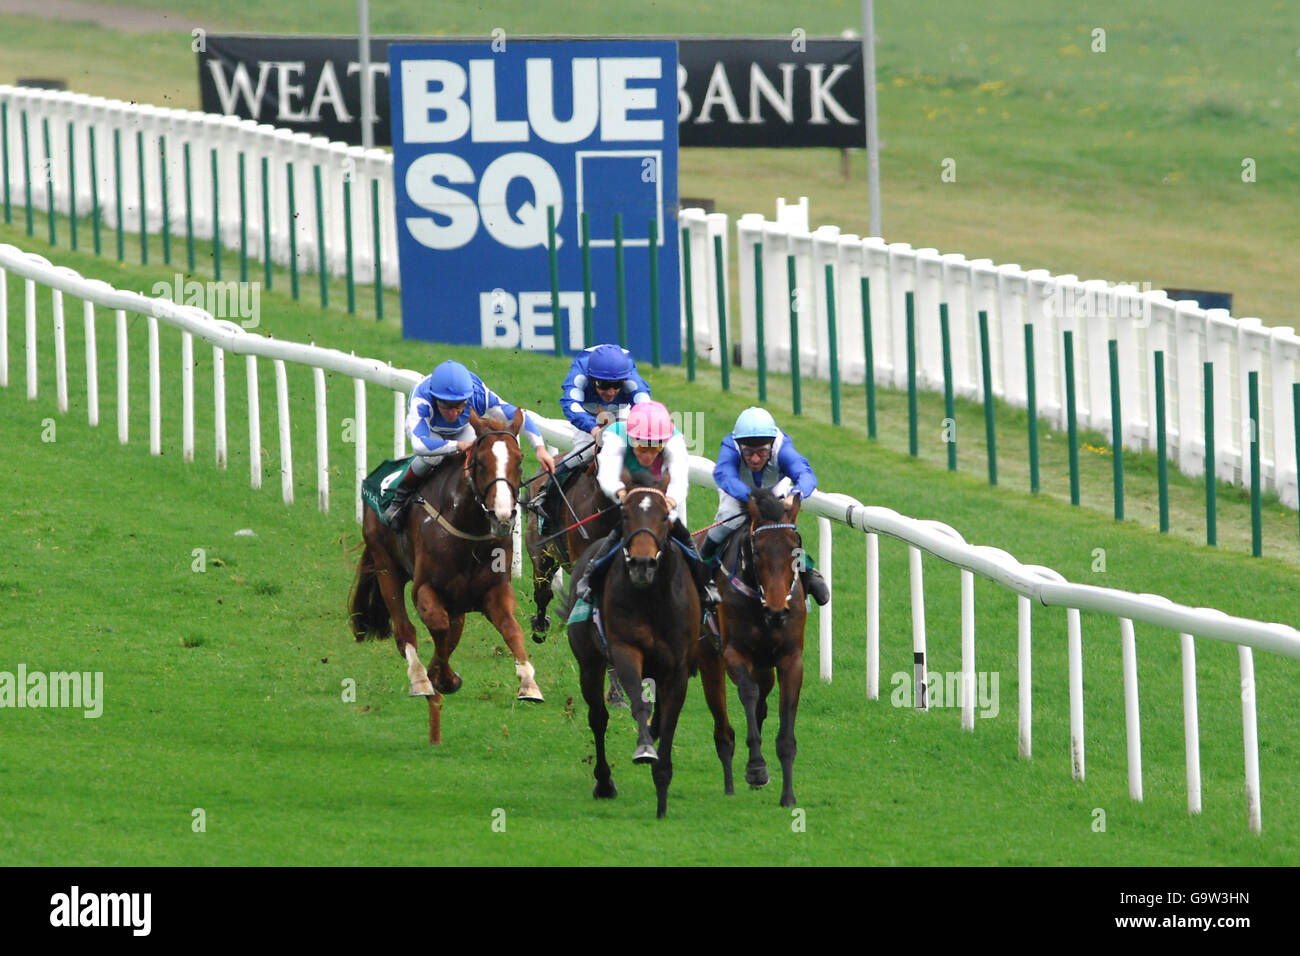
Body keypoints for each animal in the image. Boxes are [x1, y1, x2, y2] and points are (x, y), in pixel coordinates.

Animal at [345, 405, 543, 749]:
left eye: (519, 460)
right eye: (480, 462)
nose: (503, 516)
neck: (468, 528)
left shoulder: (494, 591)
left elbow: (511, 630)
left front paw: (528, 683)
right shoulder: (425, 589)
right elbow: (437, 627)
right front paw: (439, 678)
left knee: (451, 630)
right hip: (386, 565)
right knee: (405, 629)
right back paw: (419, 678)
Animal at [569, 470, 702, 816]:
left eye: (665, 515)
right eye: (626, 514)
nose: (642, 564)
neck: (652, 597)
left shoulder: (678, 667)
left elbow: (669, 720)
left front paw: (662, 793)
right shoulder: (625, 650)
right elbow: (639, 704)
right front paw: (644, 749)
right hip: (588, 662)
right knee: (598, 717)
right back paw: (604, 783)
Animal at [696, 486, 806, 806]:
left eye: (795, 549)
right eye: (757, 551)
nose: (777, 611)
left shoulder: (791, 659)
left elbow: (785, 726)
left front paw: (788, 797)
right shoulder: (734, 653)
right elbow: (747, 693)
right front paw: (756, 768)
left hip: (764, 665)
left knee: (761, 699)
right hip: (709, 660)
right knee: (723, 730)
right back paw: (730, 783)